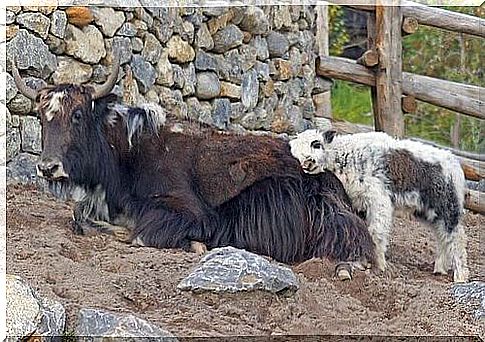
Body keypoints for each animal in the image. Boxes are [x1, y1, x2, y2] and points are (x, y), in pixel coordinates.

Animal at [290, 130, 466, 282]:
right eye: (295, 152)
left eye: (316, 144)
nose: (308, 162)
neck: (345, 157)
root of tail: (454, 164)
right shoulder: (358, 203)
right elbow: (362, 231)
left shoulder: (378, 200)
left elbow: (375, 232)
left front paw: (377, 266)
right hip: (427, 211)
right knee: (441, 236)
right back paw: (439, 269)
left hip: (448, 207)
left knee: (457, 237)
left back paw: (460, 277)